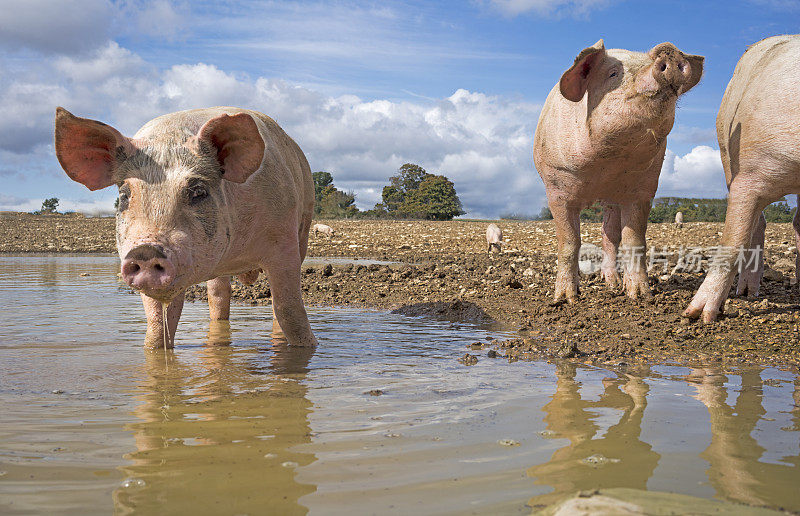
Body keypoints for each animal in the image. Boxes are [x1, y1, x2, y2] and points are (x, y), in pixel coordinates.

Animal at [54, 106, 318, 346]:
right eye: (124, 195)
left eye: (198, 191)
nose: (145, 251)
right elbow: (158, 324)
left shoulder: (283, 241)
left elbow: (289, 310)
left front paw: (308, 346)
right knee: (218, 295)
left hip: (304, 228)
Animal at [536, 41, 704, 306]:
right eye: (613, 74)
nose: (669, 53)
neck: (606, 165)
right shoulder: (557, 186)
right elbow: (570, 242)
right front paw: (566, 300)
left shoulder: (643, 189)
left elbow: (634, 241)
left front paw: (642, 297)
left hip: (613, 201)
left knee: (610, 237)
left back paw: (612, 283)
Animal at [680, 34, 800, 320]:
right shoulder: (750, 172)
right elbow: (732, 241)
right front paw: (697, 316)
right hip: (727, 153)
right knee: (759, 225)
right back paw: (746, 294)